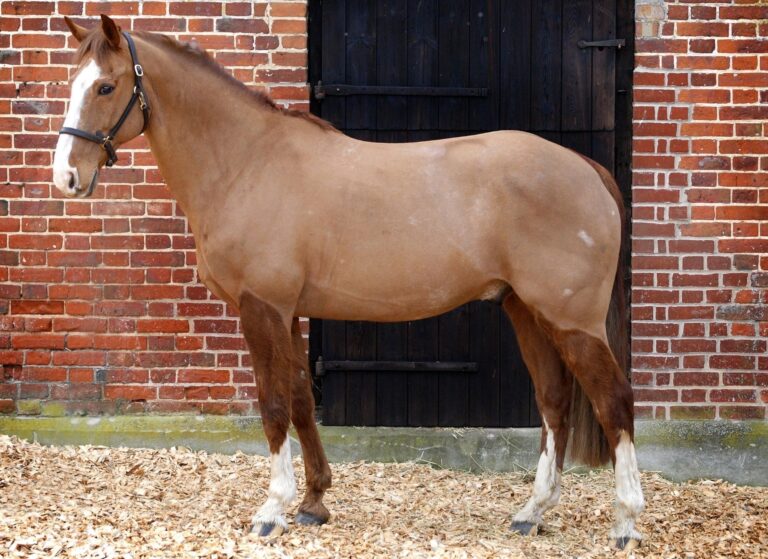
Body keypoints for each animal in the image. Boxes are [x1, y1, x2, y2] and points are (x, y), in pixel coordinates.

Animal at [52, 15, 644, 550]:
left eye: (106, 86)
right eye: (71, 83)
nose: (66, 177)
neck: (247, 163)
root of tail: (586, 168)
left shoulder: (260, 307)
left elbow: (272, 405)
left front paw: (272, 509)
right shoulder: (289, 311)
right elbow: (299, 400)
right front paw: (315, 501)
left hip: (572, 320)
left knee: (613, 401)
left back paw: (625, 521)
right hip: (525, 309)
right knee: (554, 402)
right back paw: (532, 512)